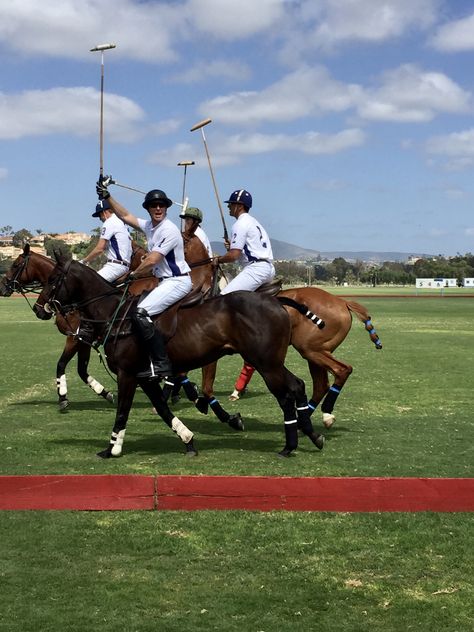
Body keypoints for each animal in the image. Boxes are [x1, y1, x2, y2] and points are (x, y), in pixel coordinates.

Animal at [32, 252, 322, 460]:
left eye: (54, 279)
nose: (39, 308)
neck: (114, 313)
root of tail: (276, 301)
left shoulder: (127, 374)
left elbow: (123, 411)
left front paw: (111, 449)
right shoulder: (145, 376)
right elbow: (162, 409)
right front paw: (188, 440)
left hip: (266, 362)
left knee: (286, 393)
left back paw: (290, 445)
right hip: (272, 361)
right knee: (297, 385)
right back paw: (312, 436)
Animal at [181, 235, 382, 432]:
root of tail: (342, 302)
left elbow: (205, 386)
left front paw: (210, 406)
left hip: (311, 349)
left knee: (341, 370)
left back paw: (321, 414)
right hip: (316, 351)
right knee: (321, 384)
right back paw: (308, 420)